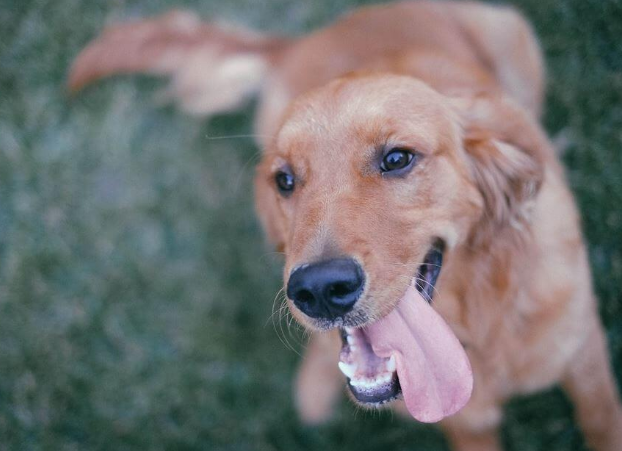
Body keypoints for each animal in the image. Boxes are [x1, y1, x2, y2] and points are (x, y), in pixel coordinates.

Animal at [68, 2, 622, 450]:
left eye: (398, 158)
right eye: (285, 180)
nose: (318, 290)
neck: (477, 324)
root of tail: (309, 35)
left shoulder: (586, 353)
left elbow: (602, 419)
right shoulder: (464, 422)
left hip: (510, 32)